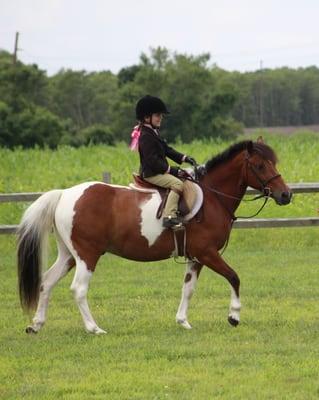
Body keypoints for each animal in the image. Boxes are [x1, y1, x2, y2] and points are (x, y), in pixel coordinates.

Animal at [16, 139, 292, 332]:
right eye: (260, 165)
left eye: (274, 163)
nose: (286, 195)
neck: (212, 197)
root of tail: (64, 194)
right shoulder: (207, 253)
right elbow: (234, 277)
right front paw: (234, 316)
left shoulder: (195, 257)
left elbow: (188, 288)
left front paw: (183, 321)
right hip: (87, 255)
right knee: (78, 289)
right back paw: (94, 328)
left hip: (69, 255)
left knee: (47, 281)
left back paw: (36, 324)